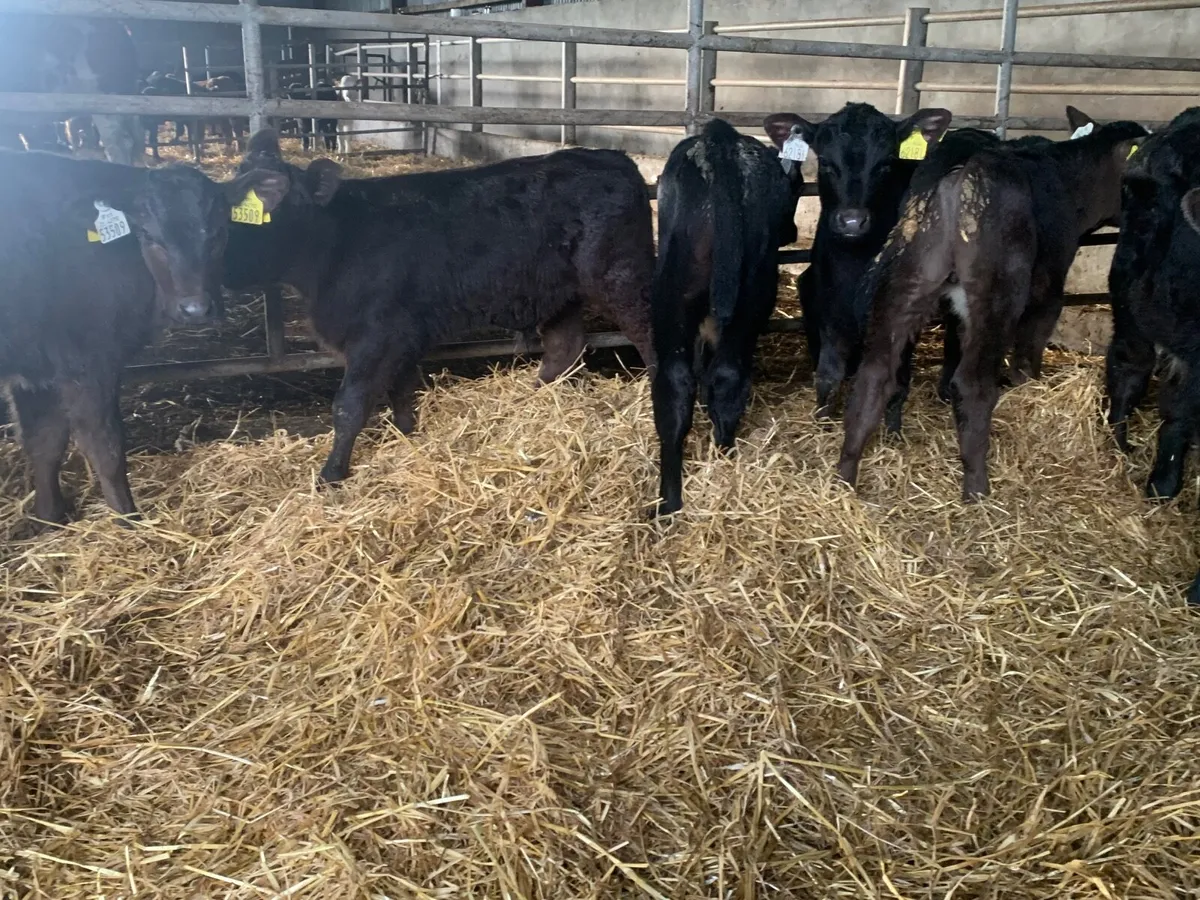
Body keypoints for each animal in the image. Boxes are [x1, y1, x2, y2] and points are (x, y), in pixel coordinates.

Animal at [0, 150, 288, 525]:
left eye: (218, 232)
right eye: (149, 236)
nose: (196, 309)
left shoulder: (35, 367)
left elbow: (43, 441)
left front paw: (48, 519)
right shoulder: (89, 361)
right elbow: (104, 445)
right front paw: (127, 521)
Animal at [222, 129, 657, 485]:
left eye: (279, 199)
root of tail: (615, 159)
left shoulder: (377, 333)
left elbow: (350, 404)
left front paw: (331, 474)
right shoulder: (401, 333)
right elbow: (399, 390)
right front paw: (406, 433)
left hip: (622, 274)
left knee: (648, 334)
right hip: (559, 292)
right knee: (564, 347)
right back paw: (534, 396)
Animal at [648, 117, 804, 517]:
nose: (793, 231)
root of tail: (722, 141)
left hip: (673, 300)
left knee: (675, 385)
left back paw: (668, 502)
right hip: (749, 300)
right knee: (728, 377)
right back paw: (723, 454)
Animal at [787, 102, 952, 430]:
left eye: (886, 163)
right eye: (825, 162)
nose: (852, 221)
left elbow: (898, 381)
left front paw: (892, 433)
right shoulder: (829, 307)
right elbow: (828, 377)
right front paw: (822, 424)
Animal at [837, 109, 1146, 500]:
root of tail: (960, 168)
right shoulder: (1047, 294)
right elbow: (1026, 360)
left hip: (907, 281)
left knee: (875, 374)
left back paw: (845, 477)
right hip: (999, 293)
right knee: (972, 383)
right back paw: (977, 490)